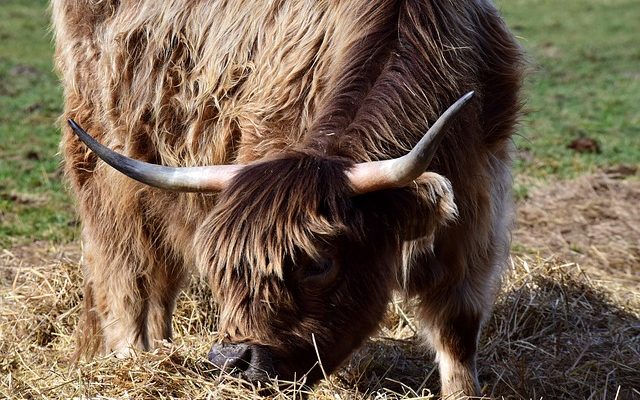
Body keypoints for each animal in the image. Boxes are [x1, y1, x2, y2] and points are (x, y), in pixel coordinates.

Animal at [52, 0, 524, 396]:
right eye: (221, 268)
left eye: (318, 263)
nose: (232, 361)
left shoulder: (477, 198)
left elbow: (457, 328)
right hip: (106, 181)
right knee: (125, 279)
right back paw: (133, 359)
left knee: (159, 280)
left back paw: (164, 352)